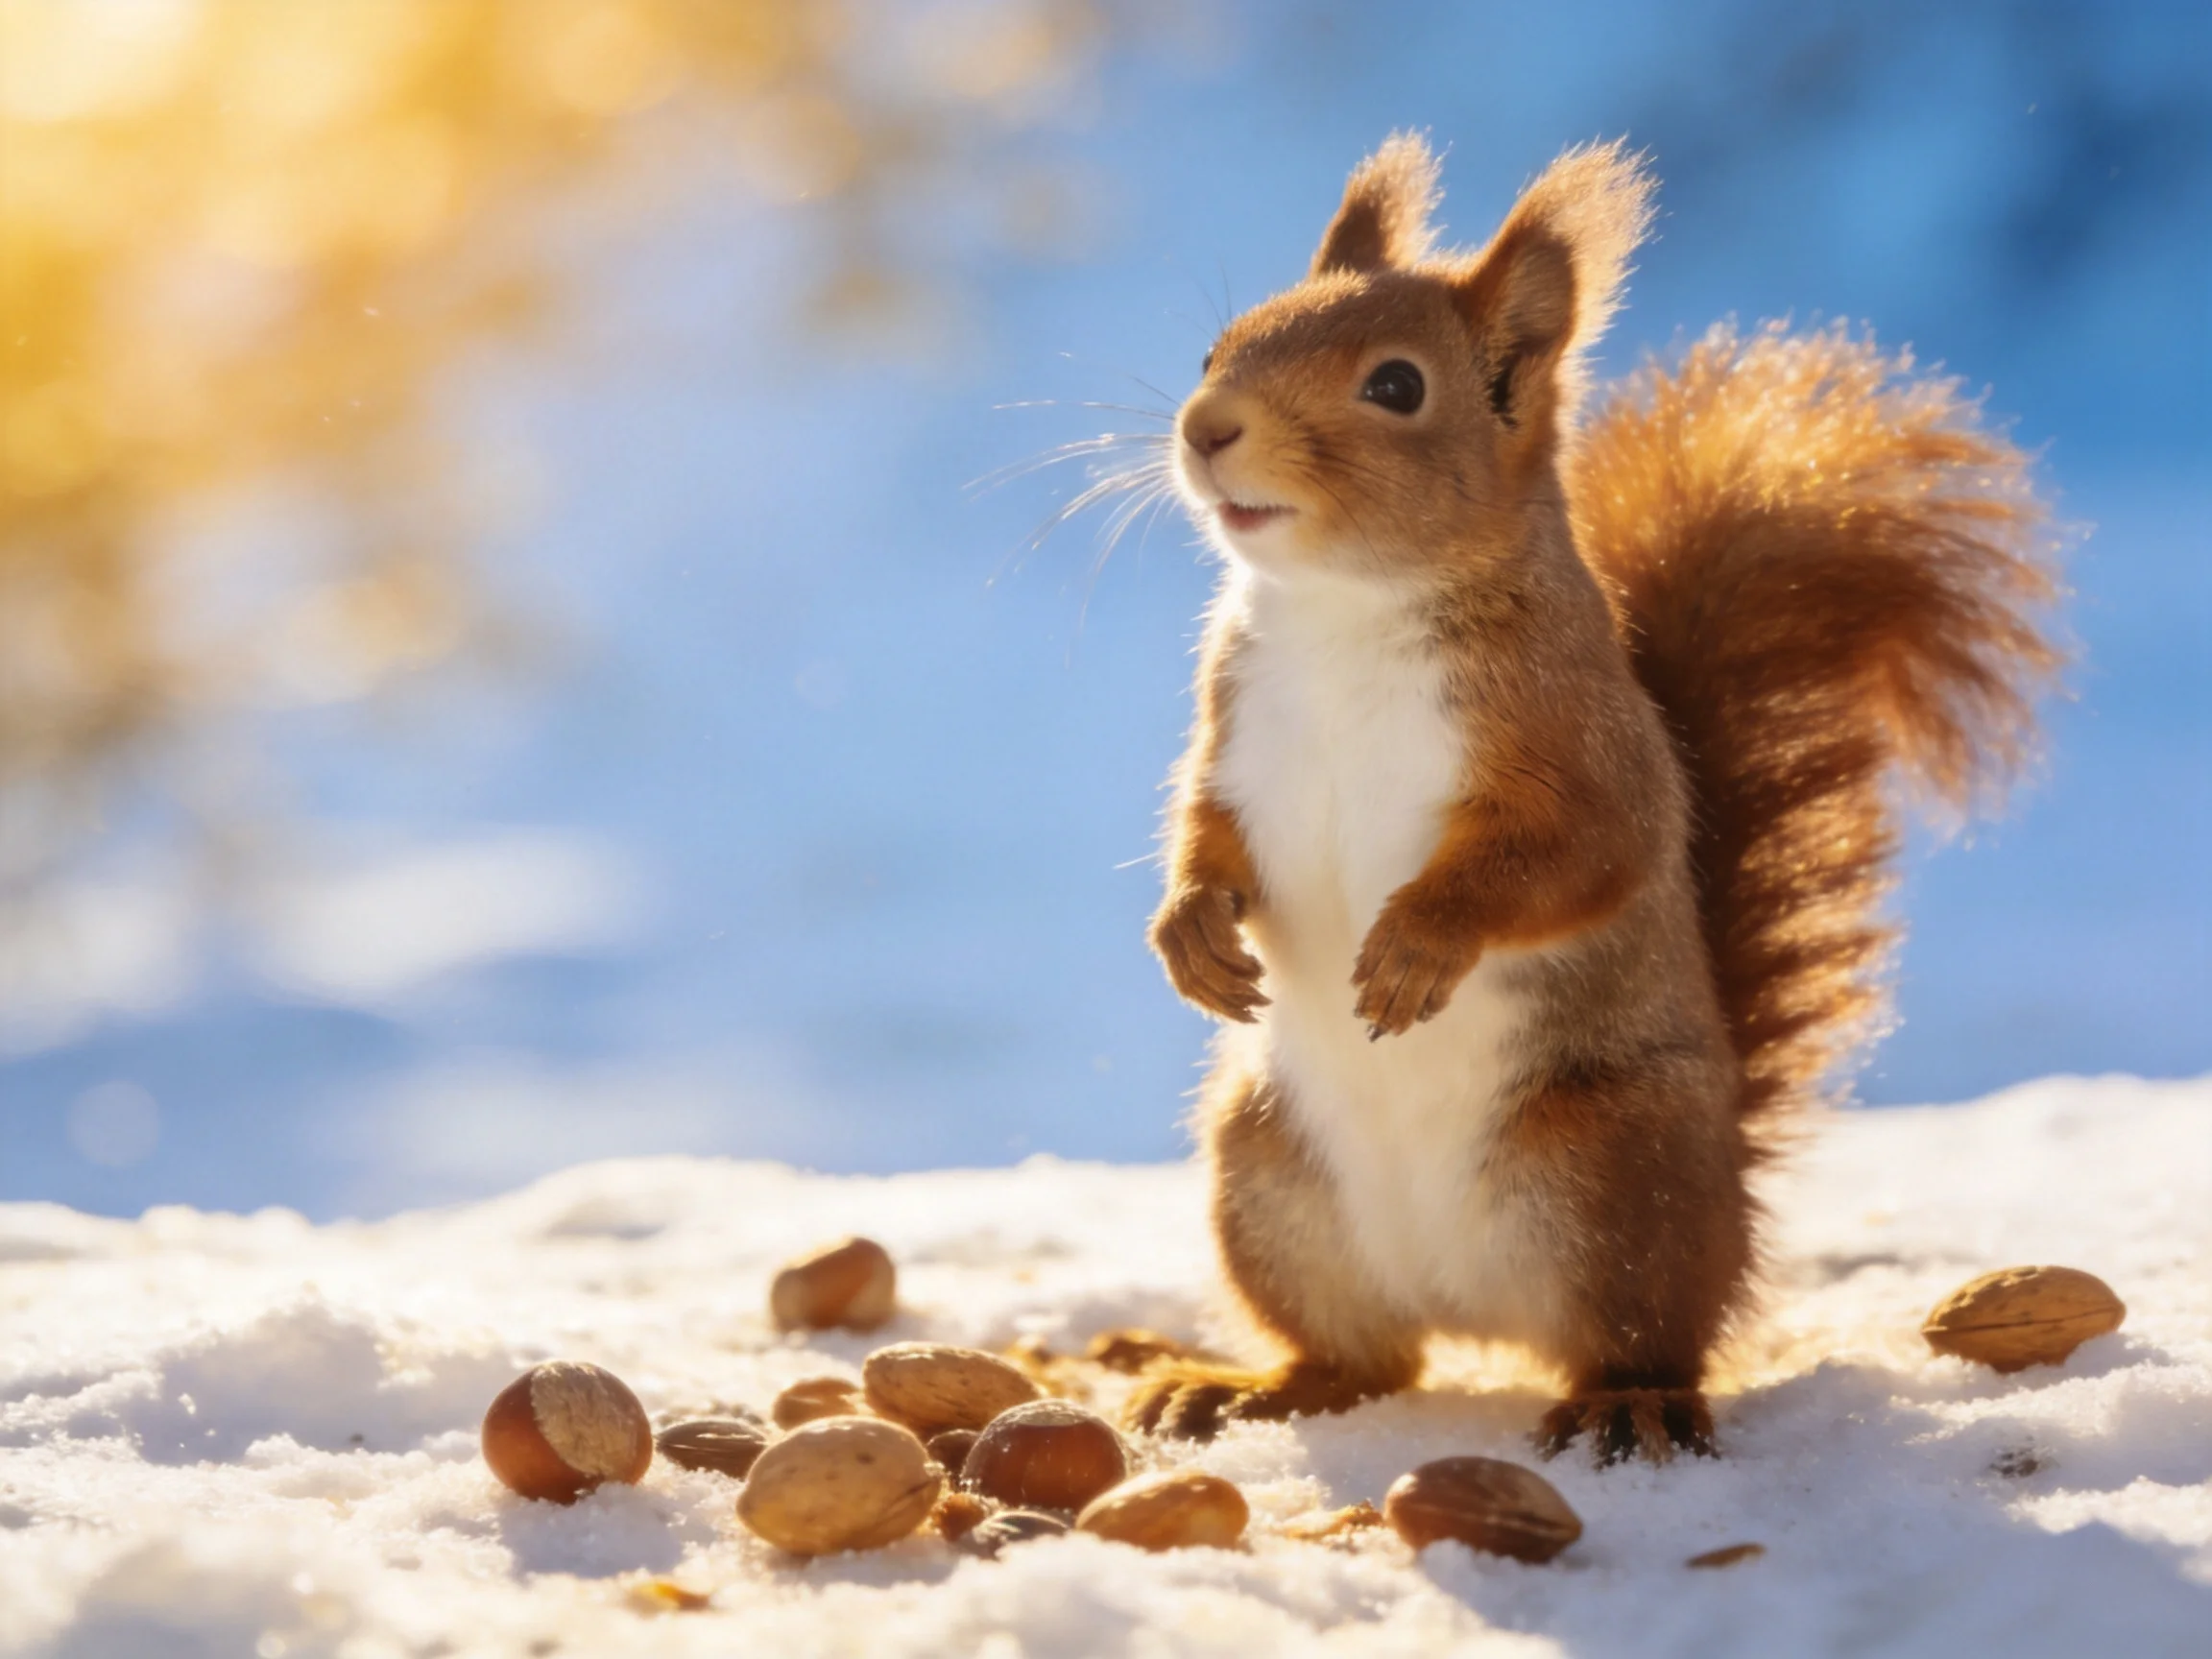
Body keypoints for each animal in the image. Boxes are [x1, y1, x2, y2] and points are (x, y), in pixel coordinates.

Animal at [1121, 135, 2061, 1463]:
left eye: (1397, 387)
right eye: (1220, 346)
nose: (1207, 427)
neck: (1347, 610)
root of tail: (1475, 1311)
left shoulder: (1580, 744)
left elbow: (1578, 856)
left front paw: (1419, 944)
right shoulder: (1230, 732)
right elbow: (1202, 833)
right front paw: (1192, 933)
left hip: (1609, 1173)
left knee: (1643, 1335)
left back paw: (1626, 1405)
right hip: (1267, 1178)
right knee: (1363, 1356)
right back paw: (1246, 1390)